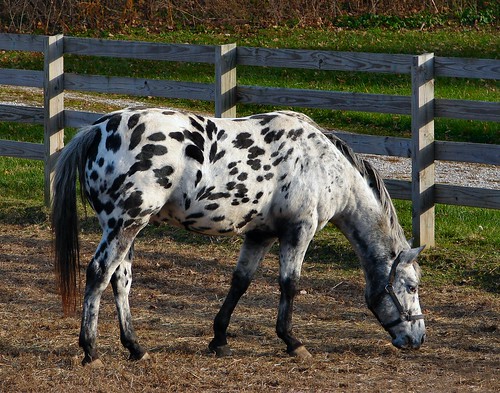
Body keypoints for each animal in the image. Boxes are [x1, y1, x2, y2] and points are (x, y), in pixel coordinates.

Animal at [51, 107, 426, 364]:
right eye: (411, 287)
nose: (418, 338)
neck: (322, 164)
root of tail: (98, 130)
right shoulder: (298, 231)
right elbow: (289, 284)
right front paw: (292, 342)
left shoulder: (260, 235)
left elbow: (240, 281)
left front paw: (219, 338)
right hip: (124, 225)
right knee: (99, 274)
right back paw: (91, 351)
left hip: (126, 229)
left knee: (120, 281)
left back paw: (135, 347)